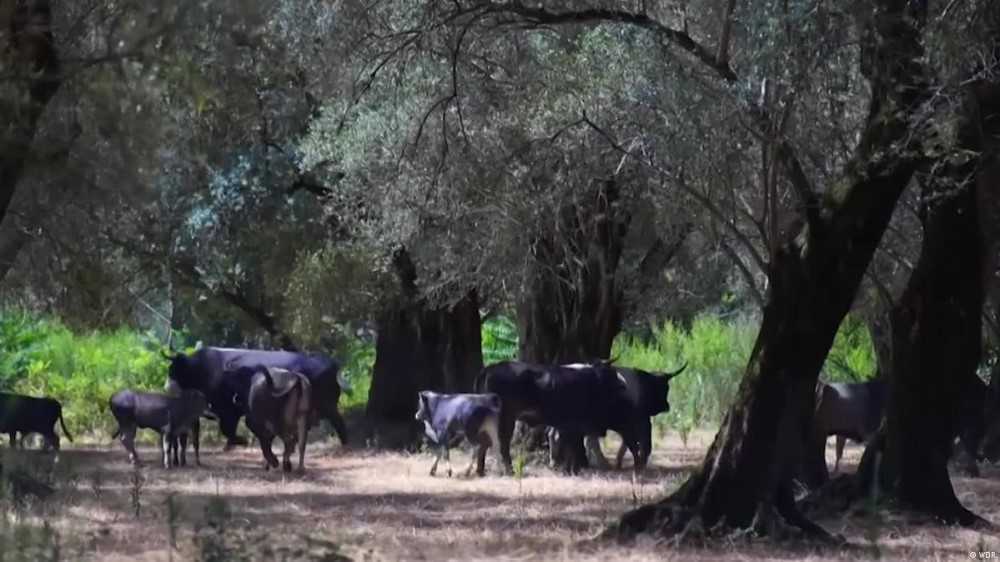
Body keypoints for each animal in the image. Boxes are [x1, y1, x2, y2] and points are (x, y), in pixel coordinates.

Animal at [164, 347, 348, 449]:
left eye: (174, 369)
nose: (167, 385)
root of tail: (331, 364)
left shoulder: (229, 410)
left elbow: (228, 430)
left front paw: (241, 441)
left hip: (328, 405)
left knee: (340, 424)